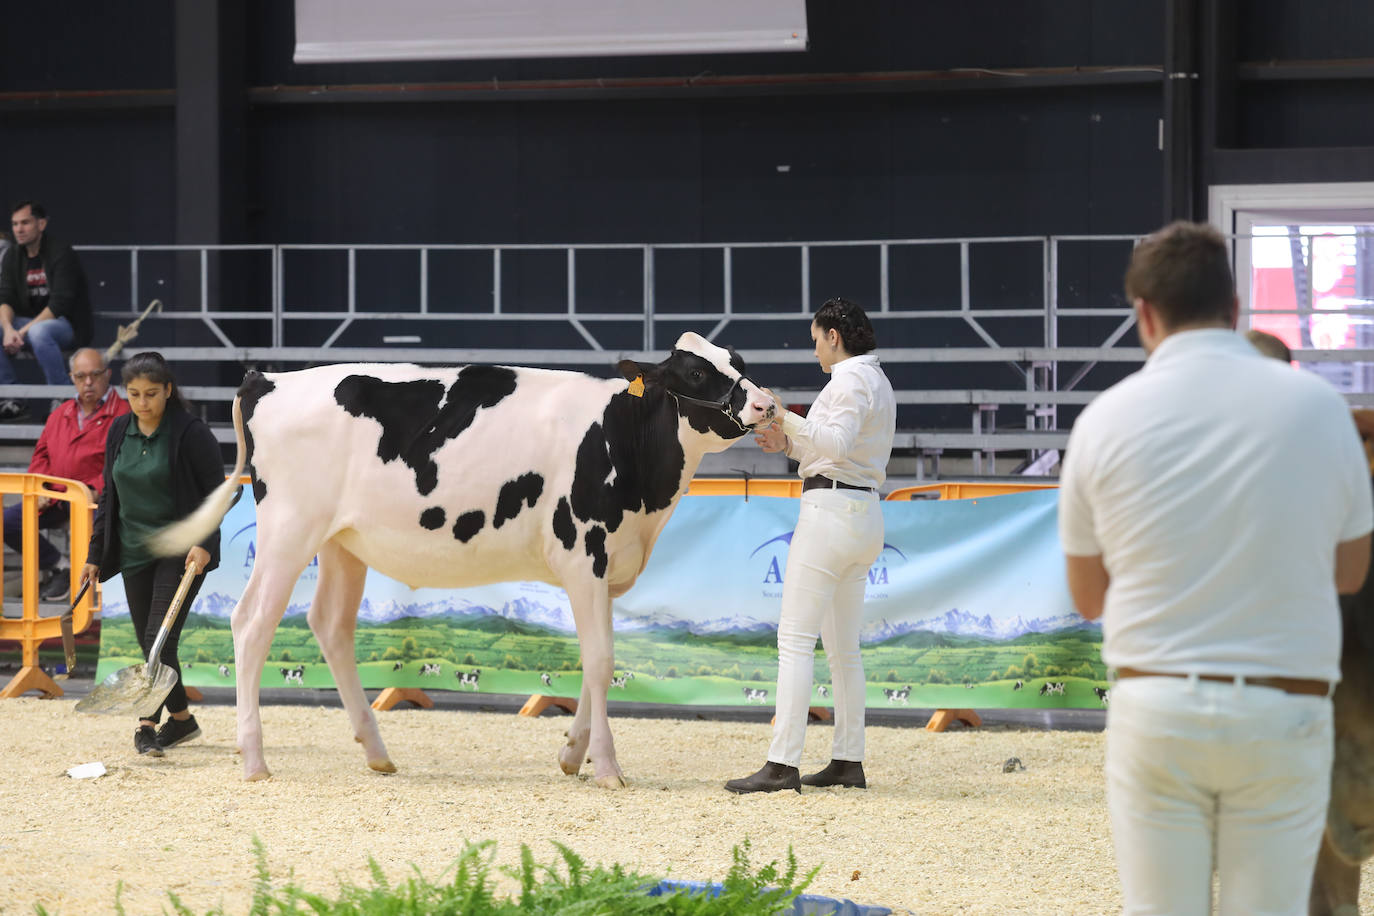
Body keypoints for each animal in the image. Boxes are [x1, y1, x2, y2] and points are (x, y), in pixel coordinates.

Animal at [153, 333, 774, 785]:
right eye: (697, 373)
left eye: (739, 361)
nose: (767, 403)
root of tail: (268, 378)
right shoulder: (584, 554)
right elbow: (600, 663)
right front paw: (607, 767)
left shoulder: (607, 570)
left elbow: (595, 662)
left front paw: (573, 756)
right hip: (289, 528)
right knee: (252, 622)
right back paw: (255, 760)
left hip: (341, 541)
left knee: (330, 624)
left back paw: (377, 751)